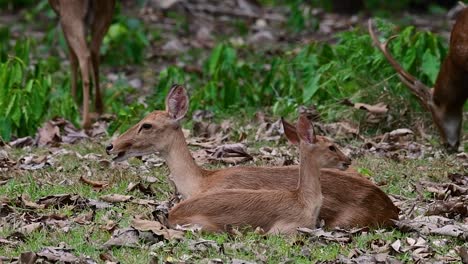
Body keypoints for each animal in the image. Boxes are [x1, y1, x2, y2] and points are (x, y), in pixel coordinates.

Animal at [48, 0, 116, 128]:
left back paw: (85, 121)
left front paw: (72, 102)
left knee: (84, 55)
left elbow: (72, 59)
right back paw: (99, 108)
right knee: (94, 51)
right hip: (105, 13)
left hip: (71, 17)